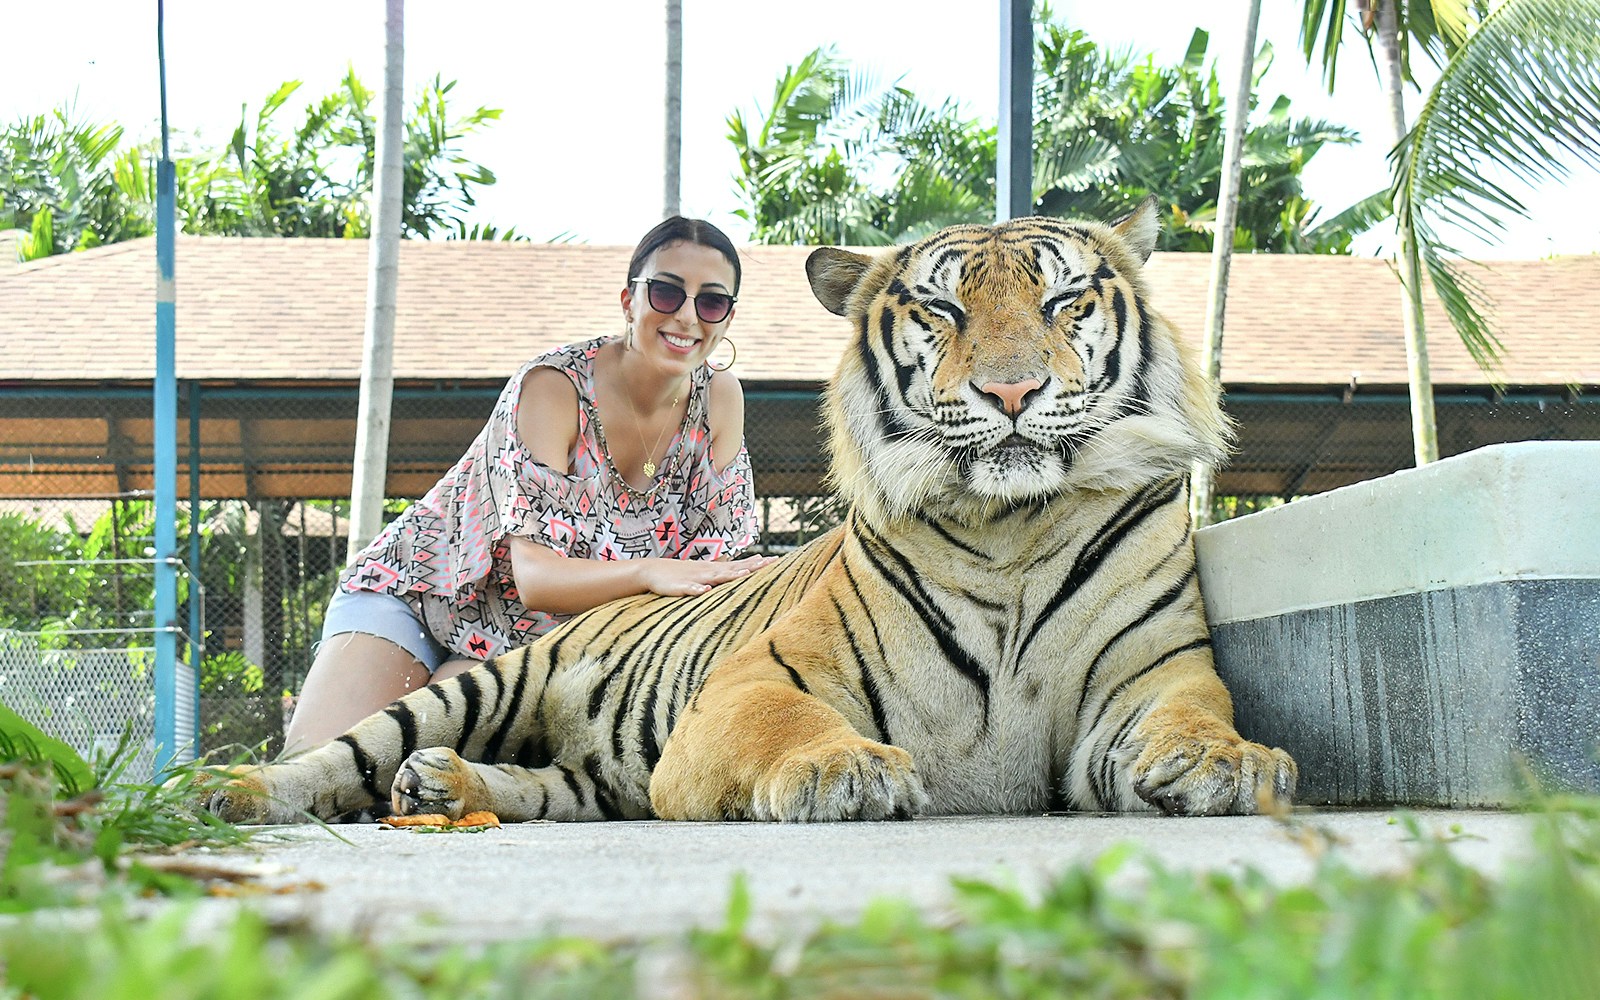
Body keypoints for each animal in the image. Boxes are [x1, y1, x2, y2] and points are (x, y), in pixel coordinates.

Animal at [207, 199, 1297, 825]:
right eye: (941, 310)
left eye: (1065, 302)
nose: (1013, 392)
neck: (1014, 528)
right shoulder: (752, 680)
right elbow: (789, 719)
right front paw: (840, 769)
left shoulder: (1153, 670)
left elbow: (1195, 712)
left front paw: (1230, 762)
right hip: (468, 688)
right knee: (329, 755)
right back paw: (225, 790)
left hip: (590, 779)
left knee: (542, 788)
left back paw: (448, 786)